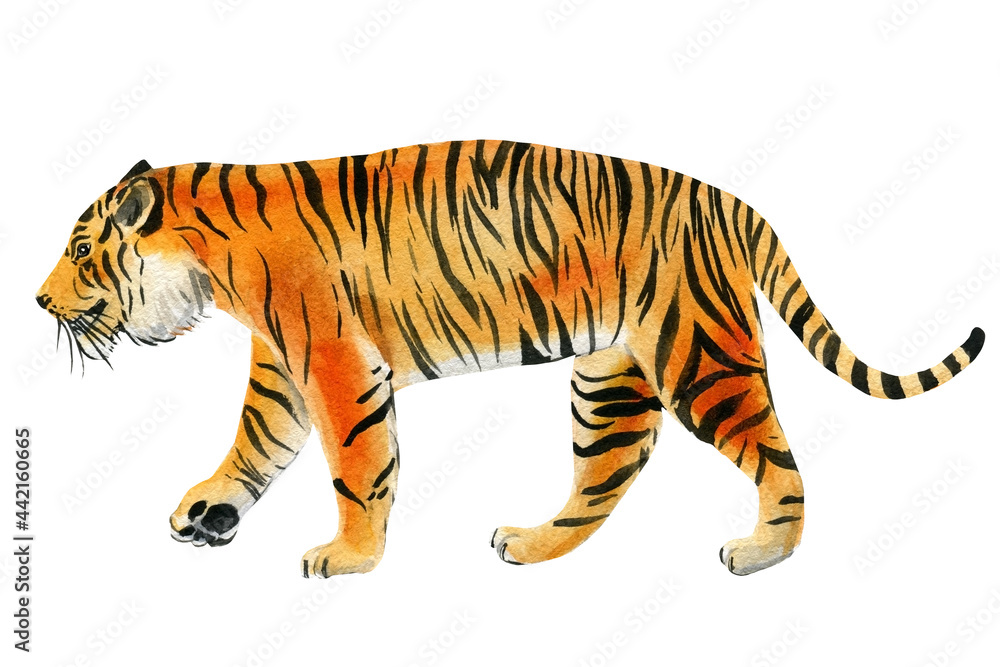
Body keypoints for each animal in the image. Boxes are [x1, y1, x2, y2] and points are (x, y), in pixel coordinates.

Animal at [36, 140, 984, 578]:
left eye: (81, 252)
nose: (40, 302)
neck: (208, 257)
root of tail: (728, 200)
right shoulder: (280, 367)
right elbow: (254, 446)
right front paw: (207, 512)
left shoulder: (336, 361)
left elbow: (356, 464)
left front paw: (349, 556)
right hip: (611, 376)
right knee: (608, 474)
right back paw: (528, 544)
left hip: (700, 355)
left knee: (779, 456)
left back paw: (760, 553)